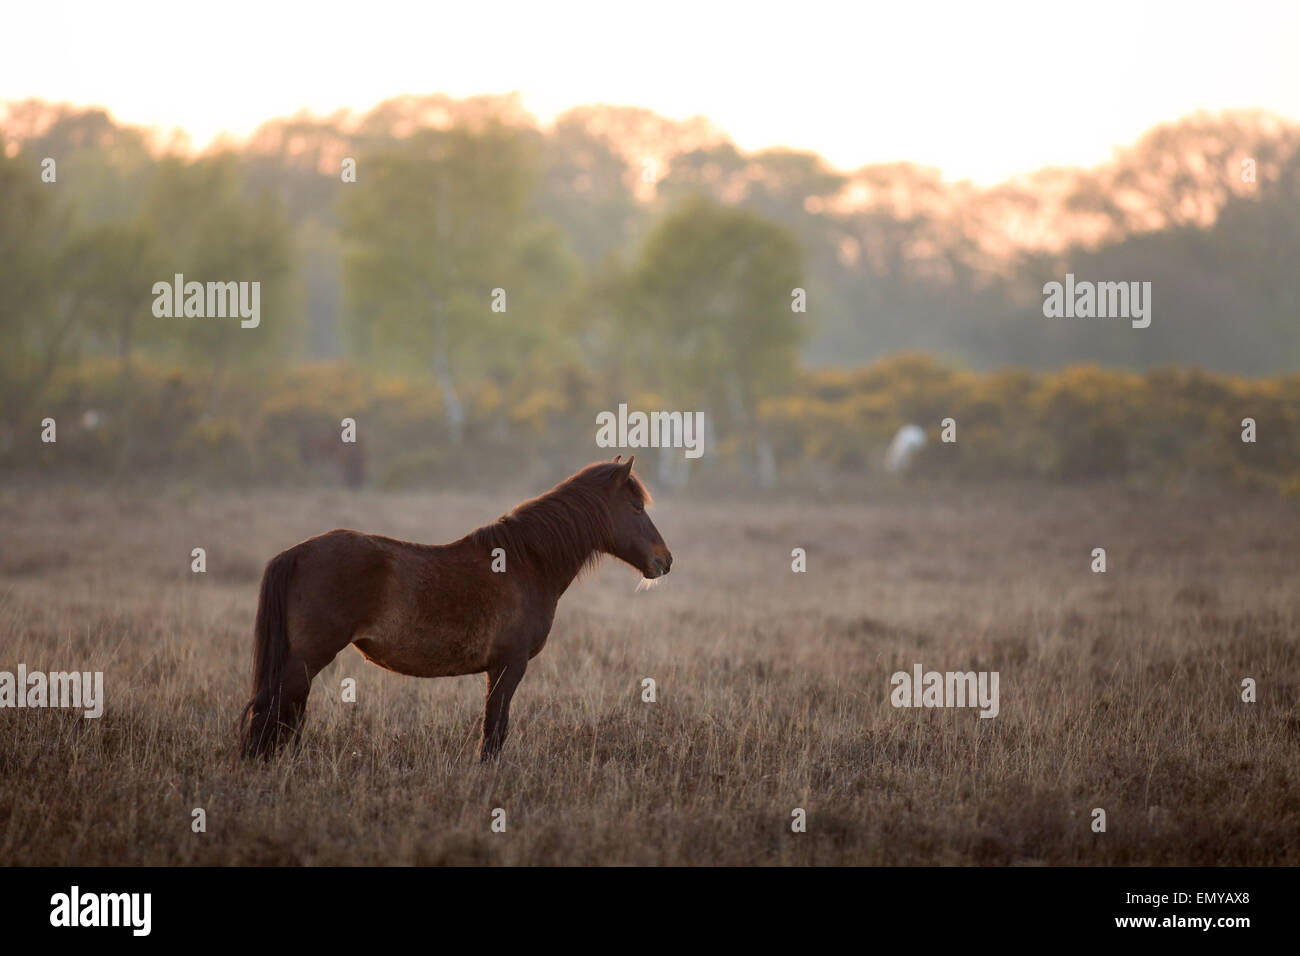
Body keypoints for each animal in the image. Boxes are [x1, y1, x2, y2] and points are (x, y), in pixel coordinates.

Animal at [235, 455, 676, 764]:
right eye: (636, 507)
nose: (665, 560)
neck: (528, 562)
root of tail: (296, 554)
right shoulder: (509, 665)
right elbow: (494, 730)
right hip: (306, 660)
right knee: (268, 717)